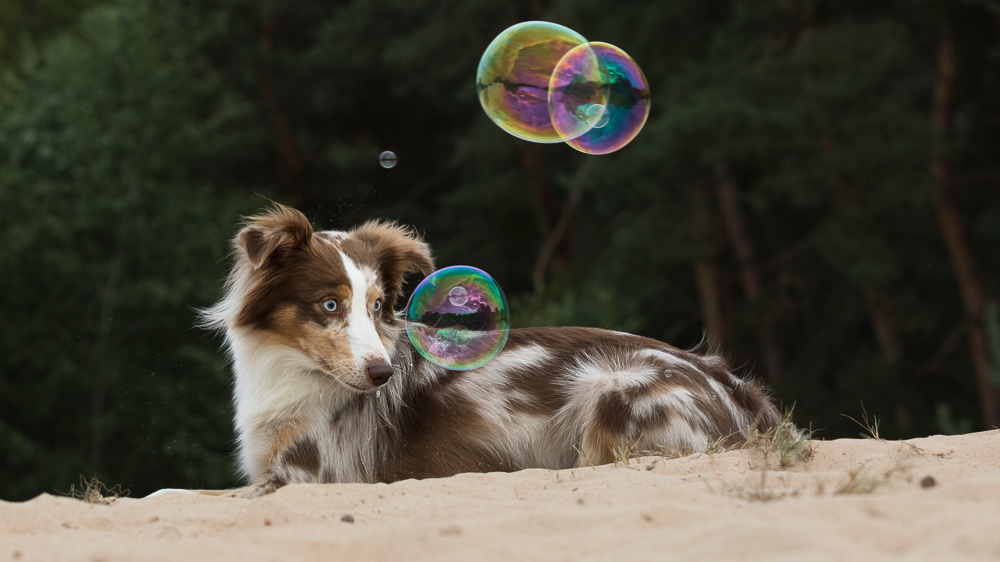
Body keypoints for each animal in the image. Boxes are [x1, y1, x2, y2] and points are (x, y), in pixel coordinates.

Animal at [203, 203, 780, 496]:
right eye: (329, 305)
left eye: (376, 305)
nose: (383, 375)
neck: (292, 369)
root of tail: (741, 392)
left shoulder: (302, 475)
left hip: (611, 389)